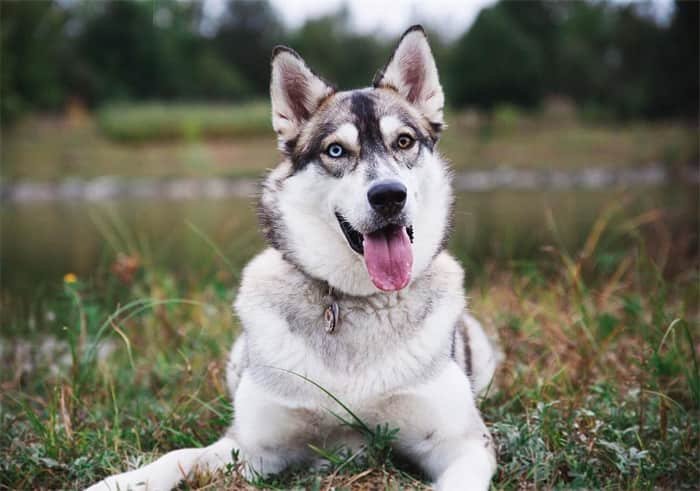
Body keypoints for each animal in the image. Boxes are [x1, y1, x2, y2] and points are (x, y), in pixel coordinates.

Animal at [89, 26, 498, 491]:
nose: (389, 195)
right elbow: (178, 456)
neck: (354, 300)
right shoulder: (252, 449)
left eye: (404, 142)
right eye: (336, 151)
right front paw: (120, 480)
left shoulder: (464, 443)